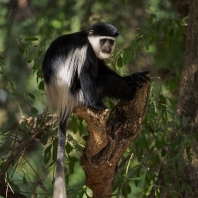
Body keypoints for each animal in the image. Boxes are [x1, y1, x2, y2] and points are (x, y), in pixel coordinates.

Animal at [42, 22, 150, 197]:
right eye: (103, 40)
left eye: (111, 41)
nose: (108, 47)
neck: (87, 38)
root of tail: (62, 102)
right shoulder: (86, 51)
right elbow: (87, 71)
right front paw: (95, 104)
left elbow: (101, 66)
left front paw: (132, 77)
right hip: (77, 95)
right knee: (101, 79)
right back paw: (126, 94)